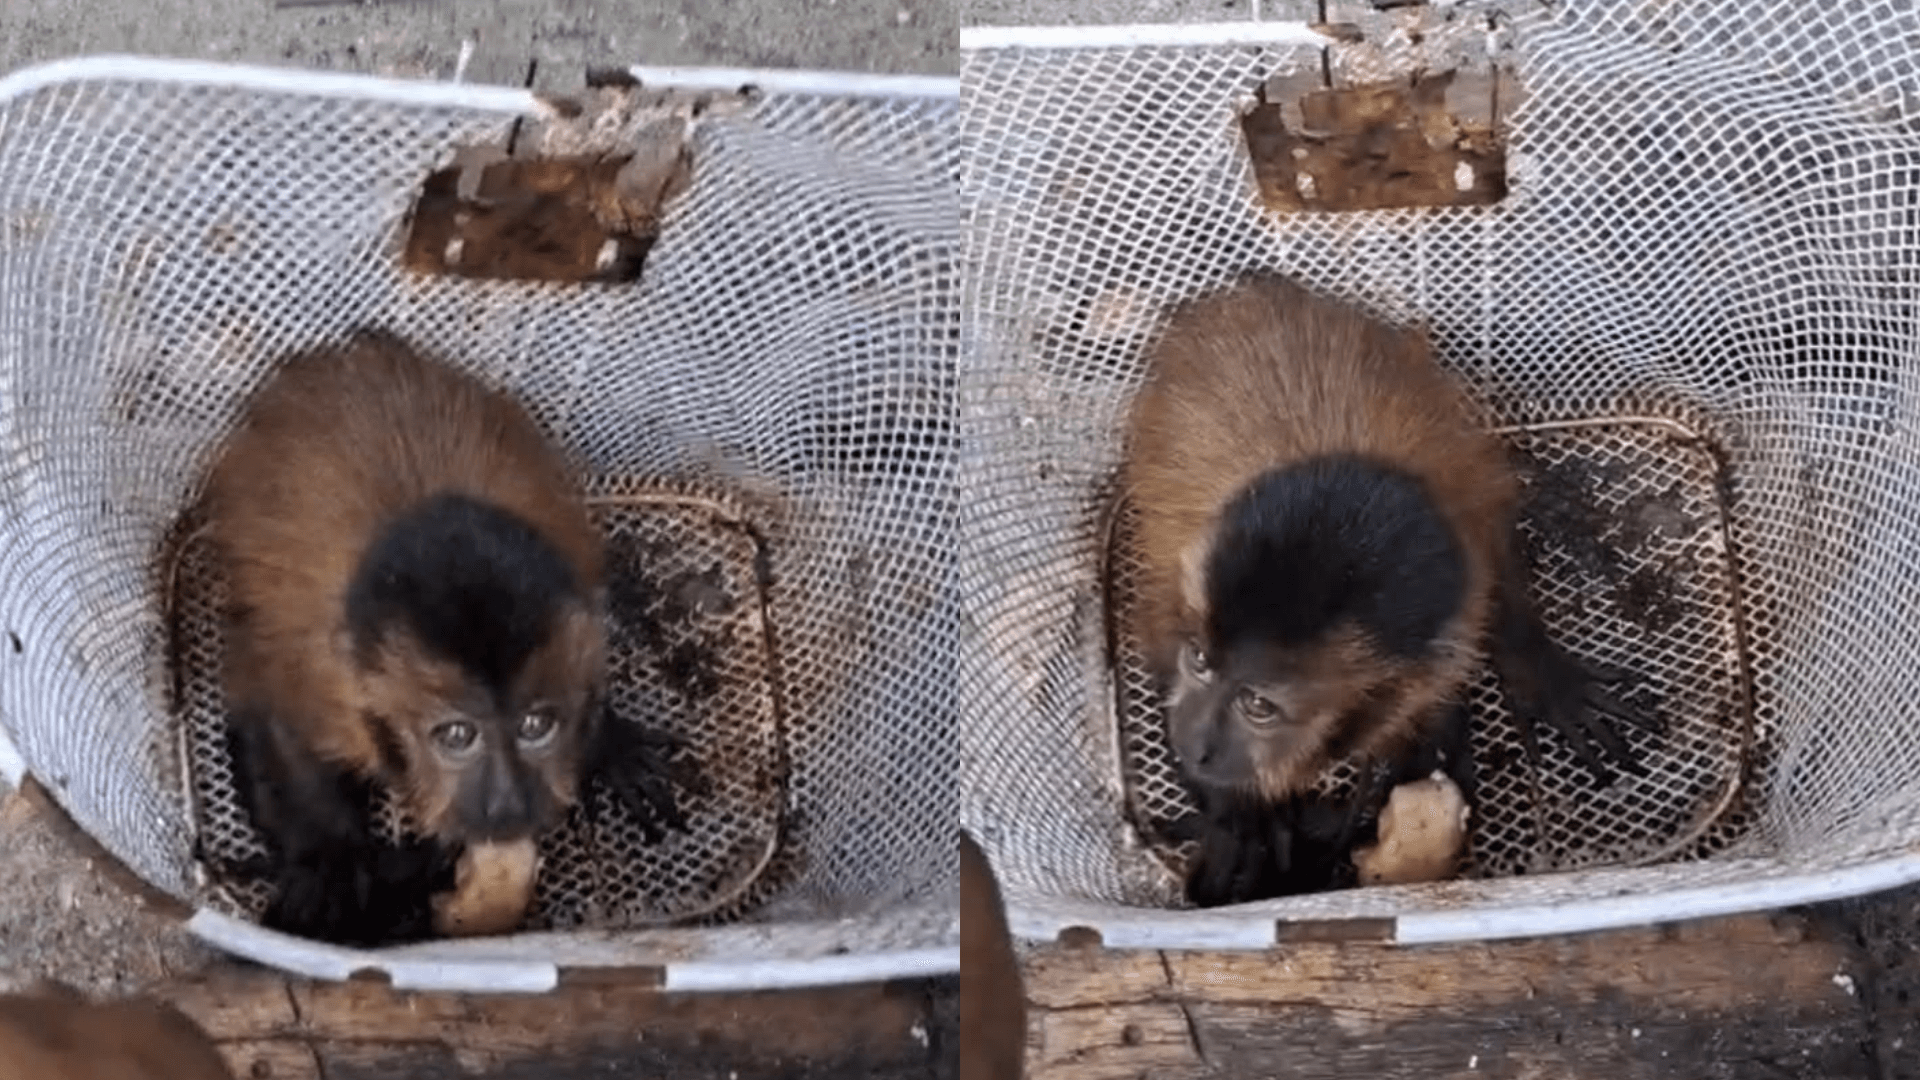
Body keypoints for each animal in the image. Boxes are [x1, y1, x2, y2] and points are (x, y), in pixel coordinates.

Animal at [202, 329, 691, 946]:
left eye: (536, 725)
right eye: (457, 735)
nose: (507, 803)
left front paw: (609, 742)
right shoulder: (321, 677)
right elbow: (269, 717)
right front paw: (331, 861)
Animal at [1122, 273, 1654, 908]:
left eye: (1259, 706)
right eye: (1200, 661)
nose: (1196, 745)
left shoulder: (1464, 556)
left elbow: (1492, 572)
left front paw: (1540, 673)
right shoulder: (1178, 585)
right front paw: (1241, 816)